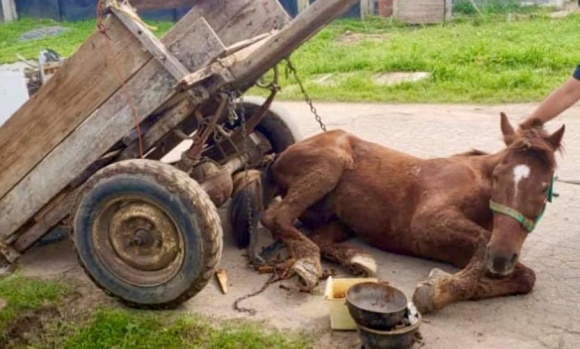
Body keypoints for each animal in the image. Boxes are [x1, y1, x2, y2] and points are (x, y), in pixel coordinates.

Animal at [229, 114, 564, 312]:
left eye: (543, 187)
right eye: (498, 177)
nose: (502, 257)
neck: (478, 183)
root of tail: (275, 159)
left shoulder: (462, 251)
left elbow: (526, 276)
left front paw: (465, 286)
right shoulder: (427, 222)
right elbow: (483, 242)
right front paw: (439, 290)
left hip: (340, 220)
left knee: (316, 235)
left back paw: (356, 259)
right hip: (330, 164)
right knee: (277, 217)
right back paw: (308, 265)